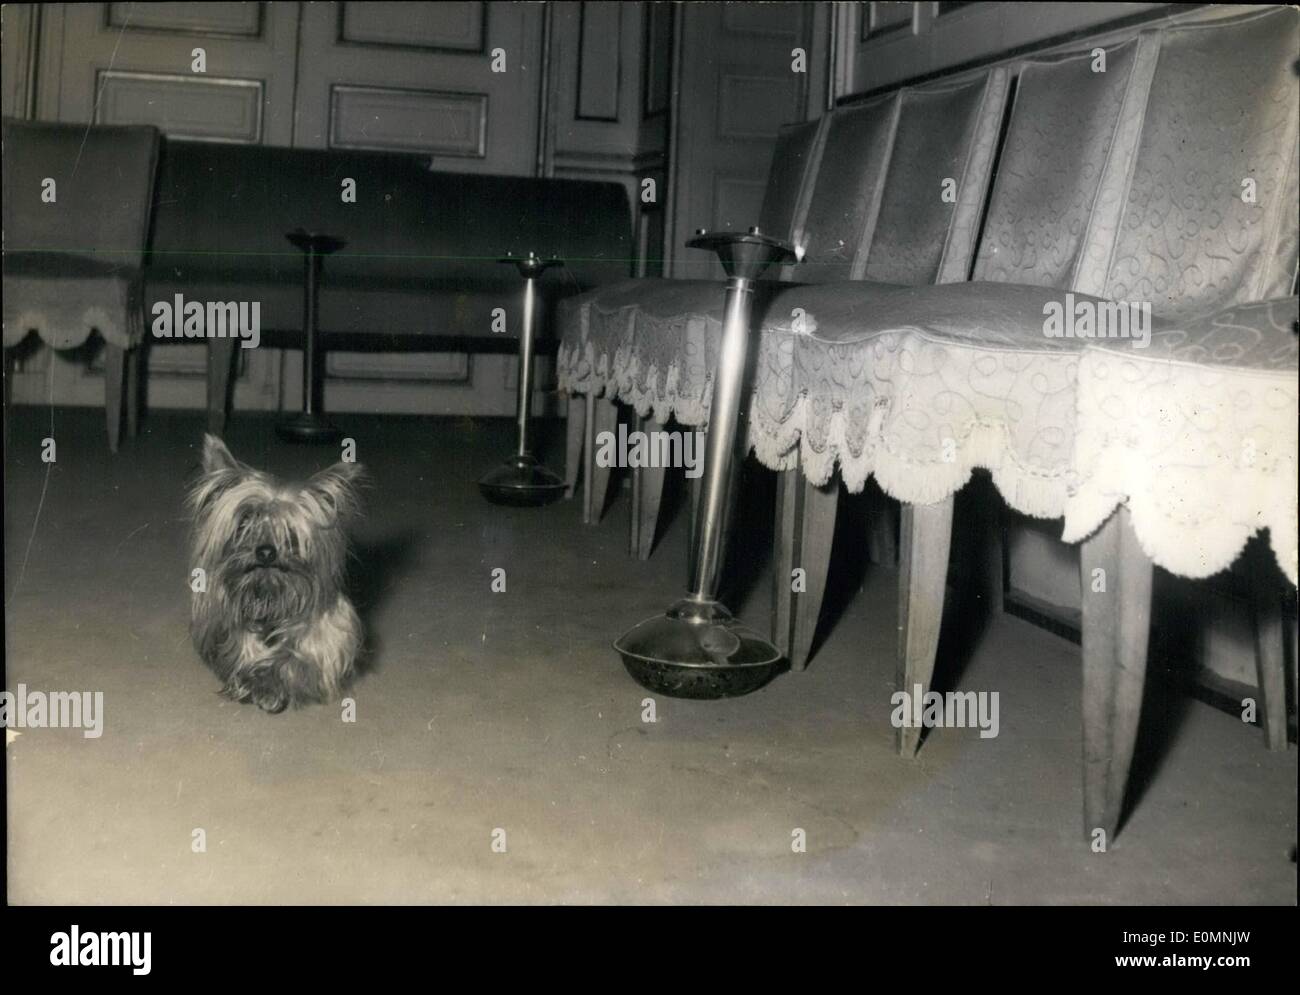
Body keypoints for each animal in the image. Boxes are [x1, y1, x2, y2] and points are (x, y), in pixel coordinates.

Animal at [188, 434, 364, 712]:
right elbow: (242, 648)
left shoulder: (327, 642)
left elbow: (294, 660)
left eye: (290, 532)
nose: (266, 552)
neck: (269, 596)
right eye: (245, 523)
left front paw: (269, 684)